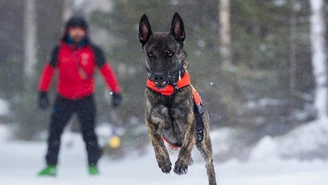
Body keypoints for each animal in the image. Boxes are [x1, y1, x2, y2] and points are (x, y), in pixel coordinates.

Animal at [139, 13, 218, 185]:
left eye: (170, 53)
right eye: (150, 54)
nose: (158, 76)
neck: (168, 92)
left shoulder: (191, 122)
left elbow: (187, 144)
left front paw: (181, 164)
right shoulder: (151, 121)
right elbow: (156, 141)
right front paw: (163, 161)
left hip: (205, 143)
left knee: (209, 164)